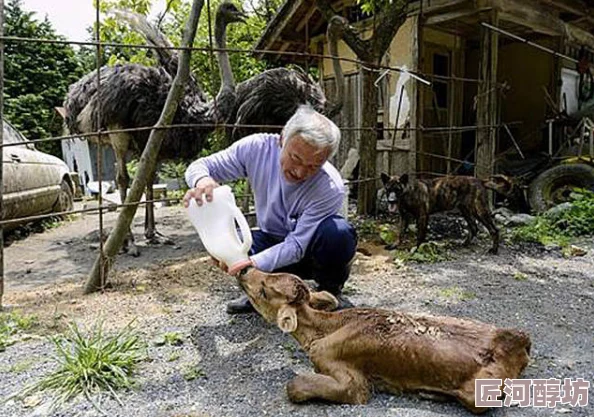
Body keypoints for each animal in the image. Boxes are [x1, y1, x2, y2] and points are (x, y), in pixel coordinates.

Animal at [236, 268, 532, 412]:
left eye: (264, 291)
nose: (244, 270)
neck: (322, 331)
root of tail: (520, 343)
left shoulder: (351, 381)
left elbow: (295, 385)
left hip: (480, 393)